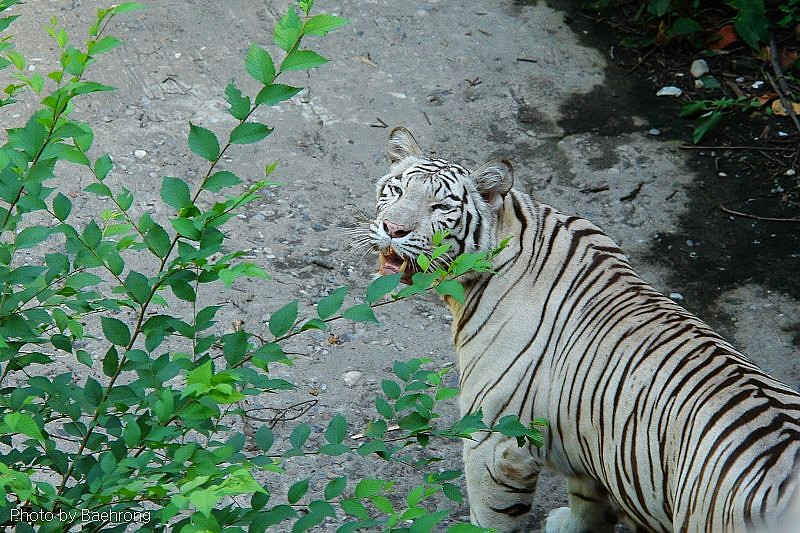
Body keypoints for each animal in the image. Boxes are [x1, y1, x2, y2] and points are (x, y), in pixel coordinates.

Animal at [368, 127, 800, 528]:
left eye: (440, 206)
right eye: (396, 189)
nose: (392, 228)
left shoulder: (495, 441)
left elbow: (490, 517)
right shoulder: (590, 438)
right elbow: (588, 499)